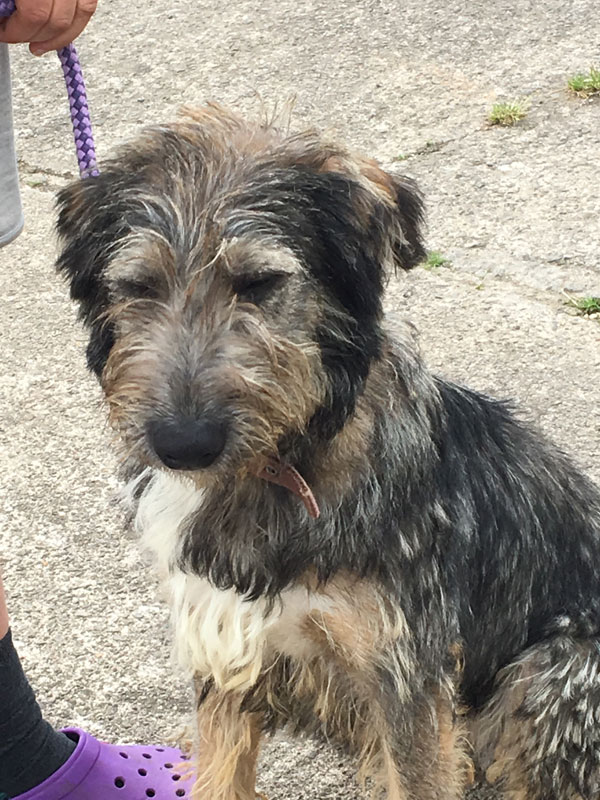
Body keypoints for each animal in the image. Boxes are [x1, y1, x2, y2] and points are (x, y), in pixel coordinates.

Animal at [55, 106, 600, 800]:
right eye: (138, 285)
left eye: (260, 283)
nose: (182, 445)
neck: (282, 461)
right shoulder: (224, 646)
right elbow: (220, 773)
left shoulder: (406, 677)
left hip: (557, 671)